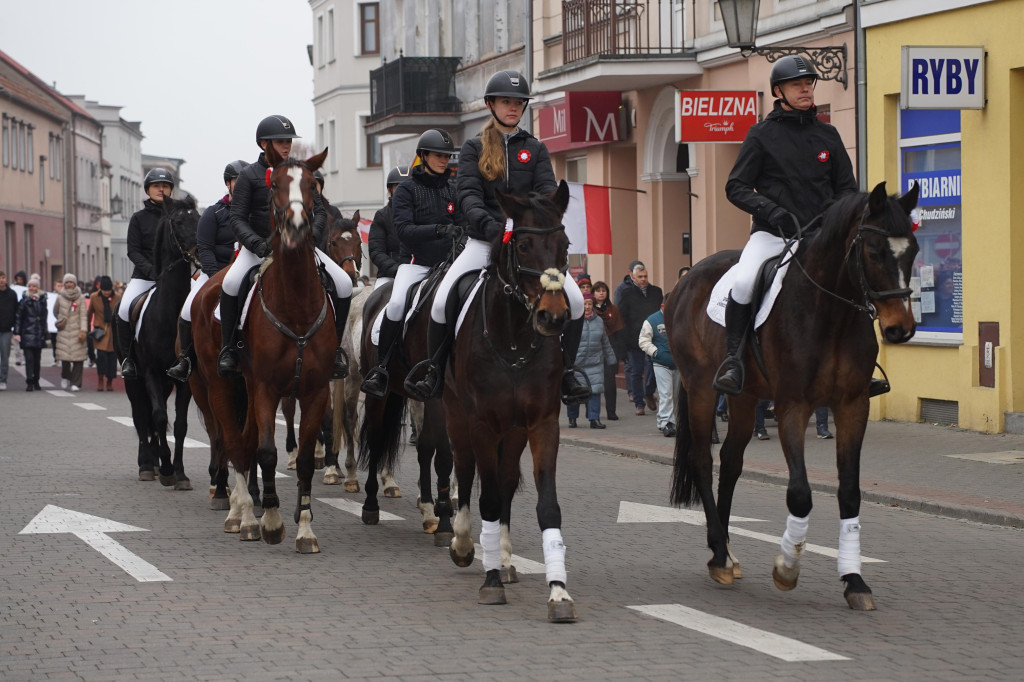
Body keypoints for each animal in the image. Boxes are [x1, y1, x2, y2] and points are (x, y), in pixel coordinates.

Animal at [116, 196, 199, 489]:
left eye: (198, 217)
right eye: (178, 221)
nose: (198, 250)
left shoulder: (183, 378)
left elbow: (180, 424)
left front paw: (180, 473)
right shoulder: (150, 372)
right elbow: (159, 417)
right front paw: (165, 467)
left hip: (165, 381)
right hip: (134, 379)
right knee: (142, 416)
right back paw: (146, 464)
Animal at [444, 179, 581, 622]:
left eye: (564, 243)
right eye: (521, 244)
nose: (553, 317)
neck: (516, 340)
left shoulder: (541, 424)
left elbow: (546, 506)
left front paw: (558, 592)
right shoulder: (482, 423)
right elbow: (484, 496)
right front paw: (488, 581)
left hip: (514, 430)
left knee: (503, 481)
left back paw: (503, 559)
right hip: (455, 415)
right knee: (465, 469)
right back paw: (465, 545)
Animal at [663, 180, 921, 610]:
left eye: (913, 250)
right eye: (873, 251)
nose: (900, 328)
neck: (830, 312)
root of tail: (683, 282)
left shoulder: (852, 406)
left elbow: (849, 492)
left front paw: (854, 580)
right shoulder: (791, 407)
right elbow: (800, 493)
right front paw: (787, 567)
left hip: (744, 398)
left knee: (730, 463)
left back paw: (727, 553)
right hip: (700, 389)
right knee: (702, 460)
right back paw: (719, 555)